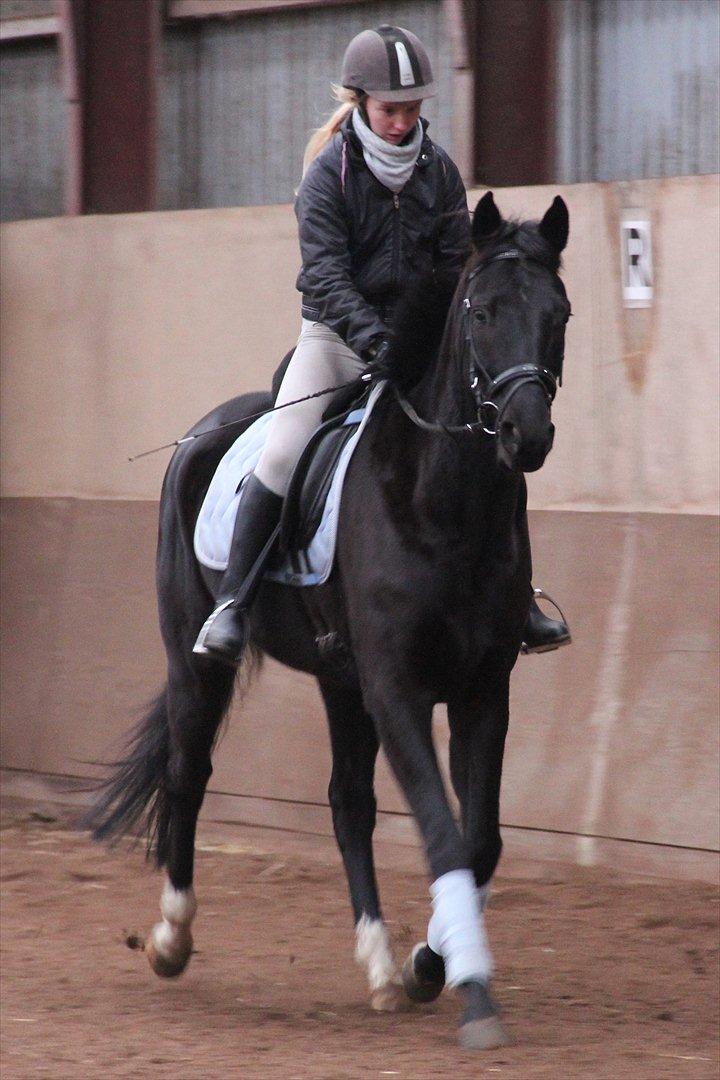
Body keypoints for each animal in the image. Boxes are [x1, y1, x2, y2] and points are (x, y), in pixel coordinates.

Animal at [85, 192, 569, 1045]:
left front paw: (428, 963)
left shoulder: (481, 689)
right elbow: (443, 832)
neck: (446, 505)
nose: (526, 433)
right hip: (196, 660)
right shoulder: (397, 688)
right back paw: (172, 938)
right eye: (482, 311)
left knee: (348, 802)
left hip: (341, 679)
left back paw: (378, 964)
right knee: (189, 772)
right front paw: (471, 993)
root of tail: (208, 428)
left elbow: (479, 840)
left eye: (561, 314)